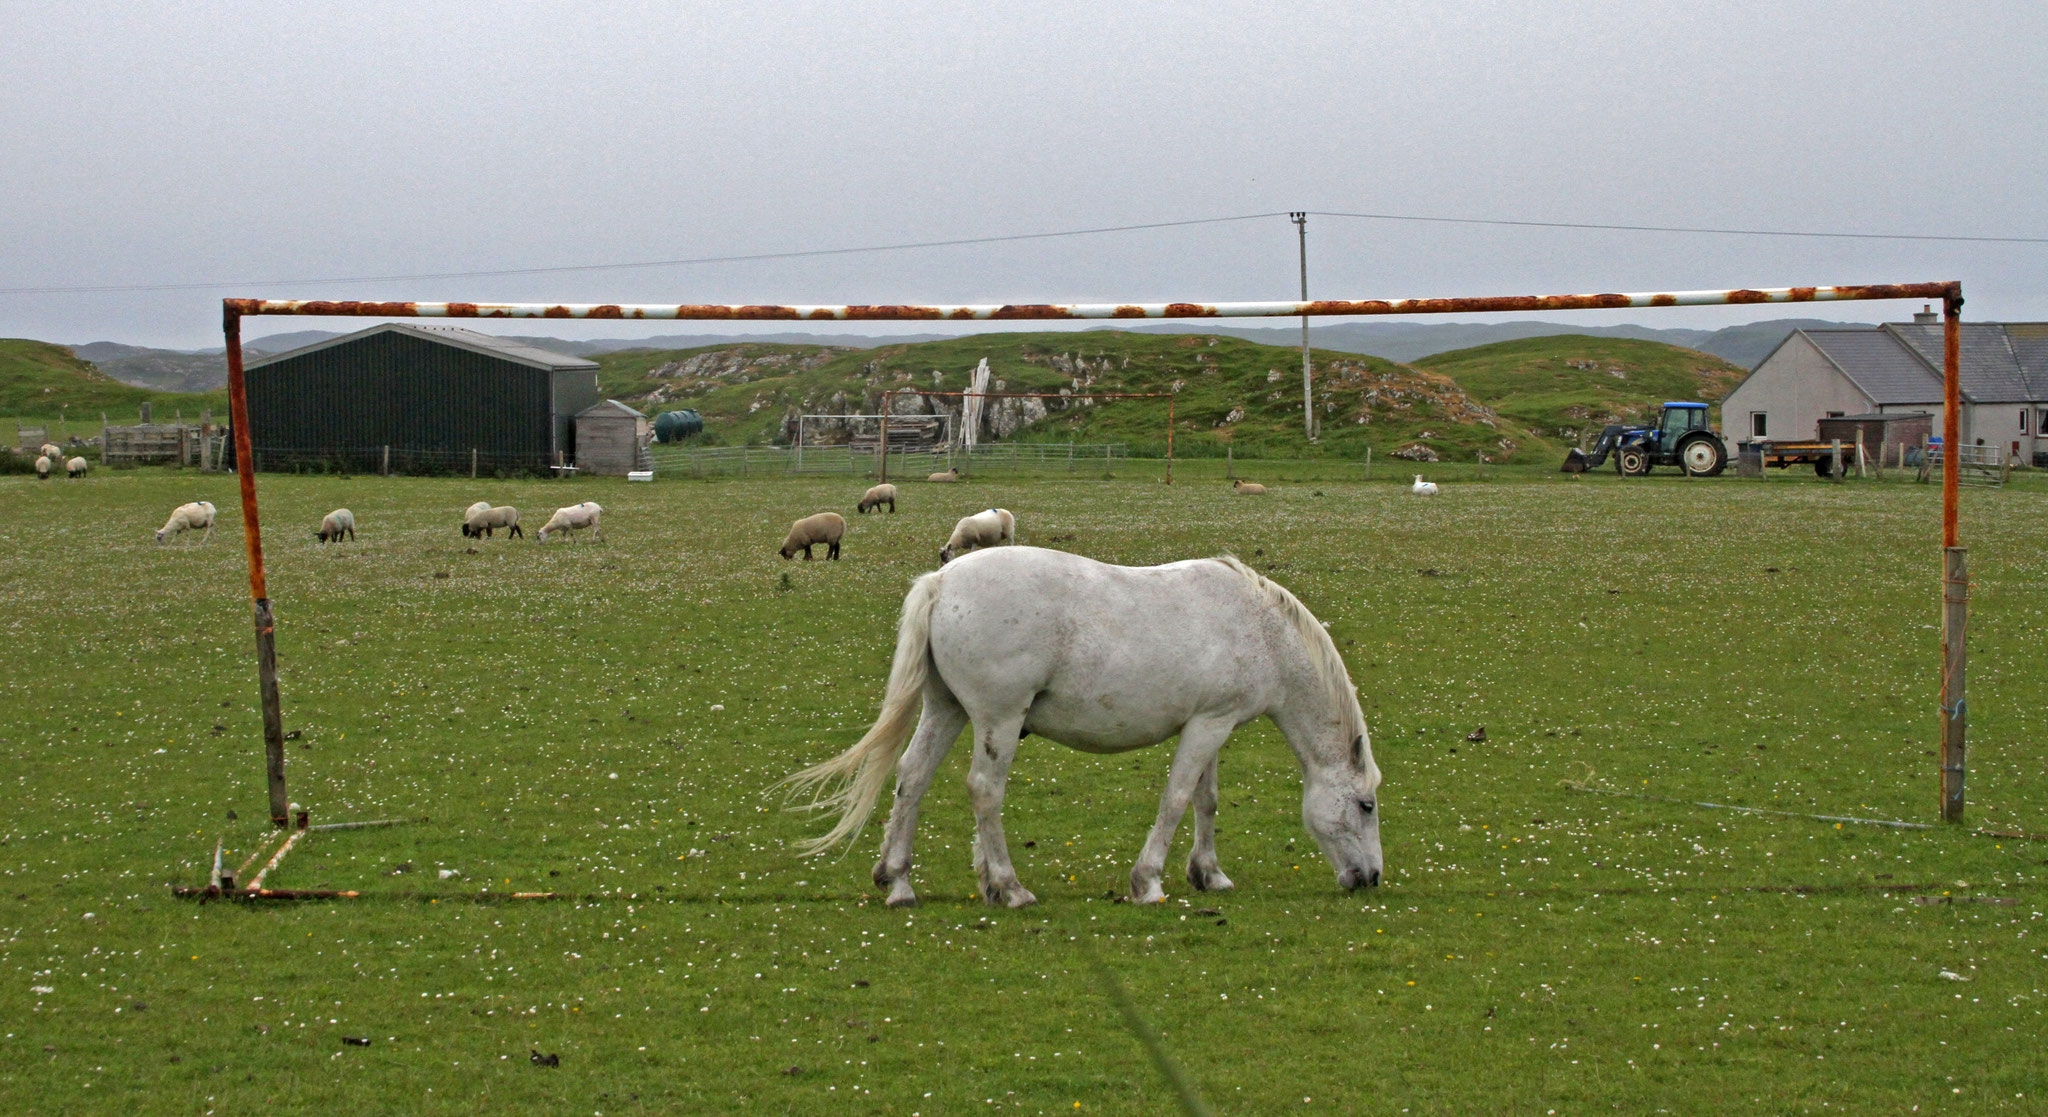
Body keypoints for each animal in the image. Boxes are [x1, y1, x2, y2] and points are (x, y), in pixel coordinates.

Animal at [774, 545, 1384, 905]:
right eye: (1366, 805)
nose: (1371, 878)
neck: (1258, 630)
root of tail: (941, 583)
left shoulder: (1213, 724)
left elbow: (1204, 801)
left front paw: (1209, 873)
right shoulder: (1209, 725)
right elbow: (1176, 799)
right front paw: (1148, 882)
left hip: (945, 711)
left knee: (912, 778)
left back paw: (898, 881)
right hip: (998, 720)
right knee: (984, 791)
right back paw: (1008, 887)